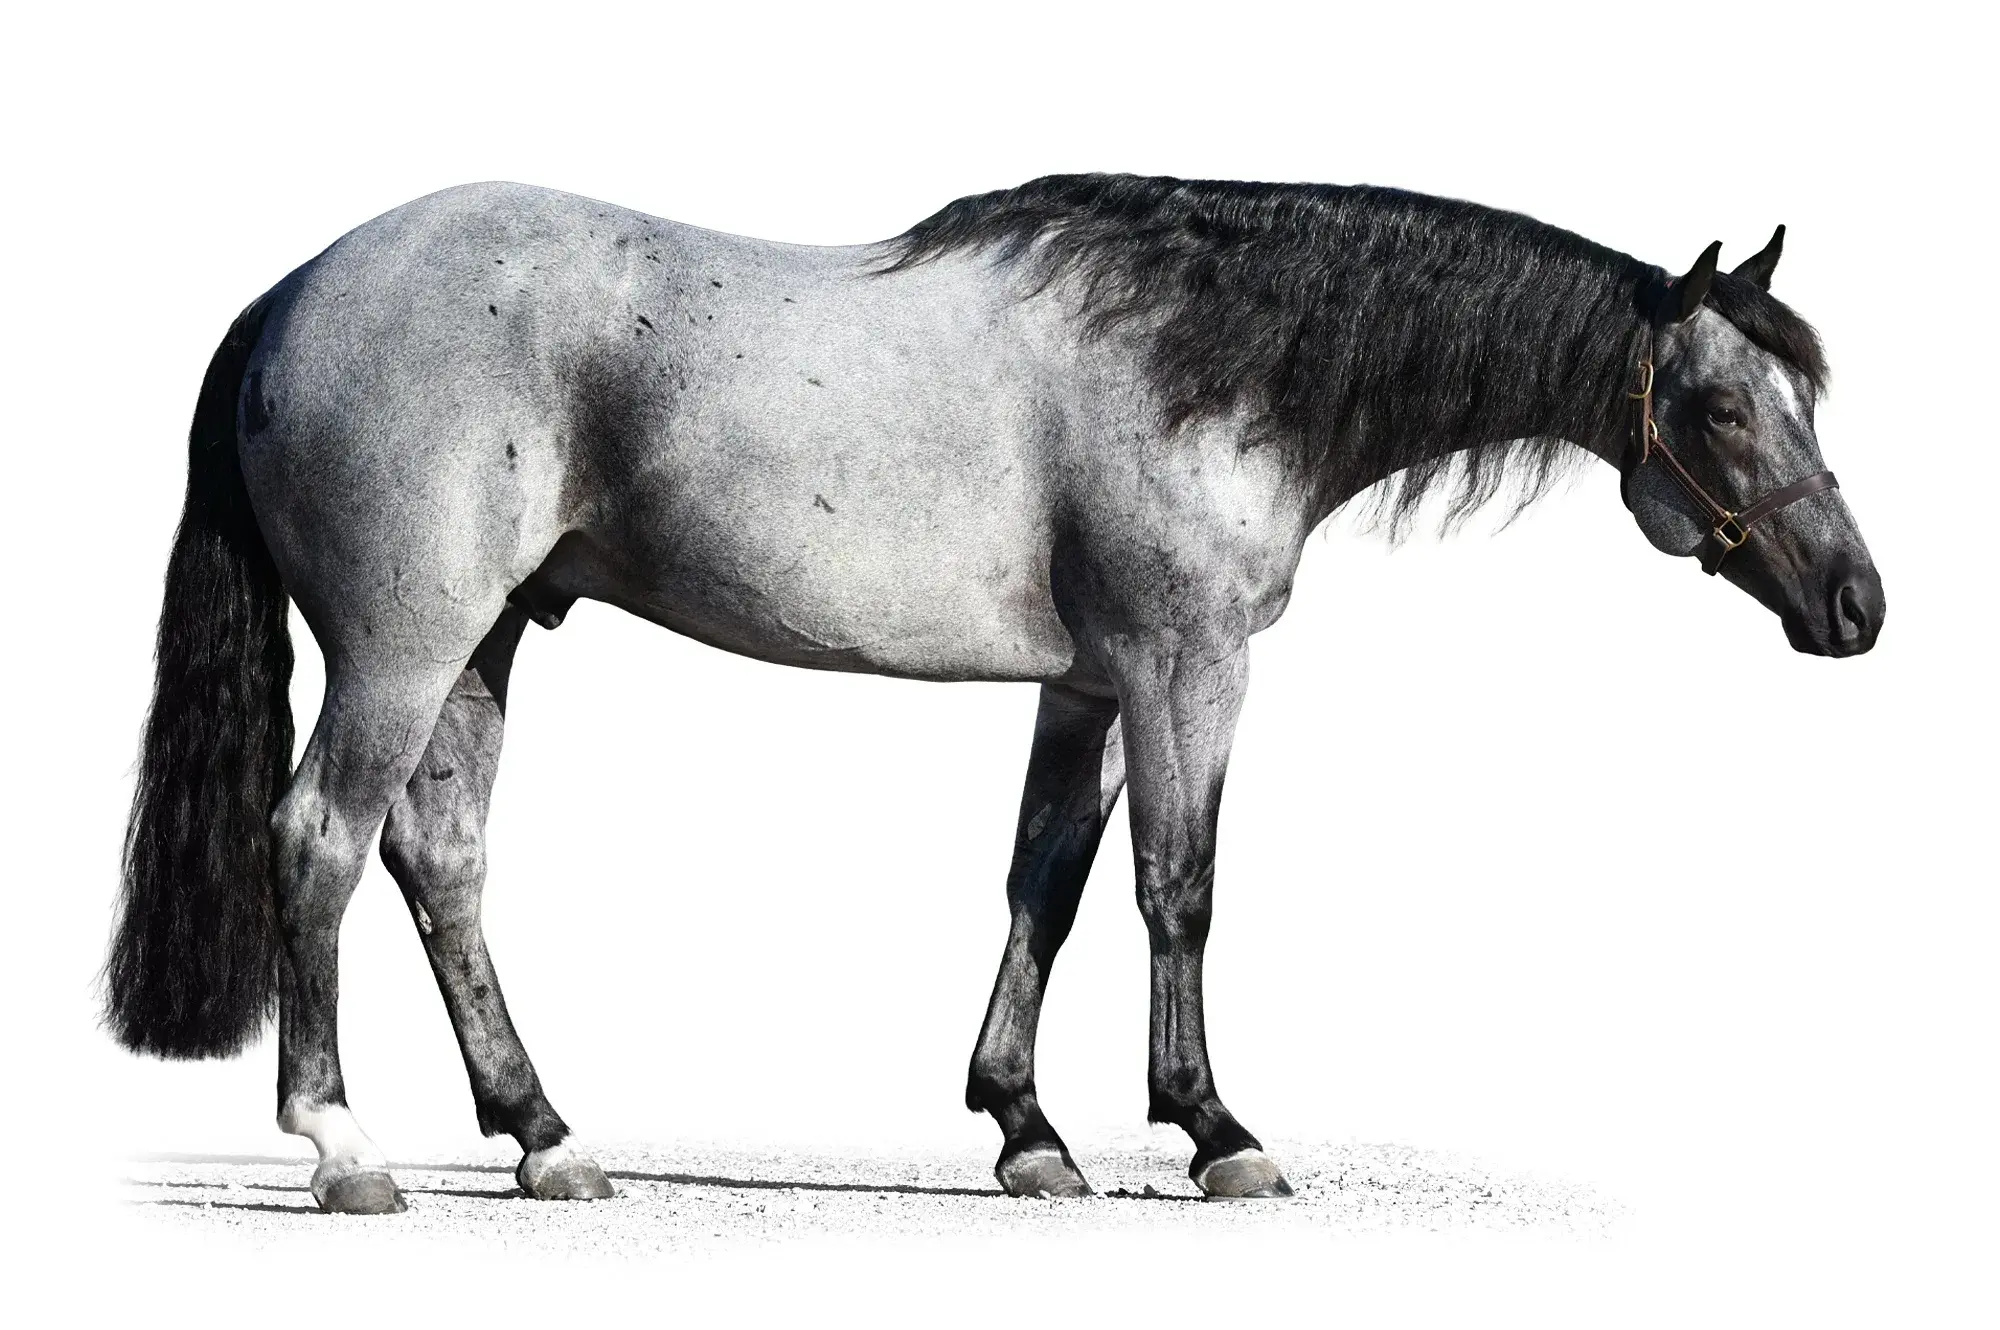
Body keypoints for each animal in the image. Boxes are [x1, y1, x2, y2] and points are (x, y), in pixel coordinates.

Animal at [104, 174, 1883, 1214]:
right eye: (1723, 407)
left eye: (1805, 392)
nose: (1858, 605)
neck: (1208, 358)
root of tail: (290, 293)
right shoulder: (1186, 668)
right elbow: (1181, 889)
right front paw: (1215, 1130)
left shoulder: (1088, 686)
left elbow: (1050, 883)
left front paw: (1028, 1130)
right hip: (407, 641)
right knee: (320, 840)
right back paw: (345, 1148)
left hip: (483, 641)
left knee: (442, 861)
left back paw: (547, 1134)